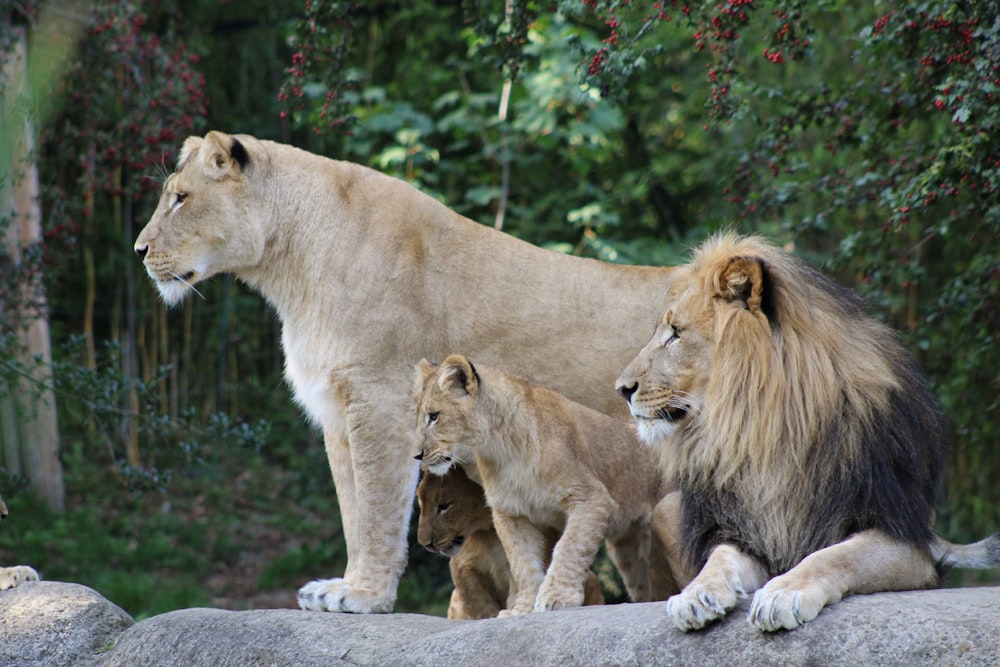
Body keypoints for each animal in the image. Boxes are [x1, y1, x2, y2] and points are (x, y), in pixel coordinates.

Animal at [412, 464, 600, 620]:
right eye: (420, 501)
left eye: (444, 506)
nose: (425, 544)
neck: (487, 533)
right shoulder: (463, 568)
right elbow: (479, 606)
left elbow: (517, 590)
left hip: (591, 578)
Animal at [616, 234, 1000, 632]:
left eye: (676, 334)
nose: (622, 389)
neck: (763, 428)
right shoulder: (744, 530)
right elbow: (718, 559)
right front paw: (696, 594)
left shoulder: (905, 538)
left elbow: (833, 556)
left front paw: (784, 593)